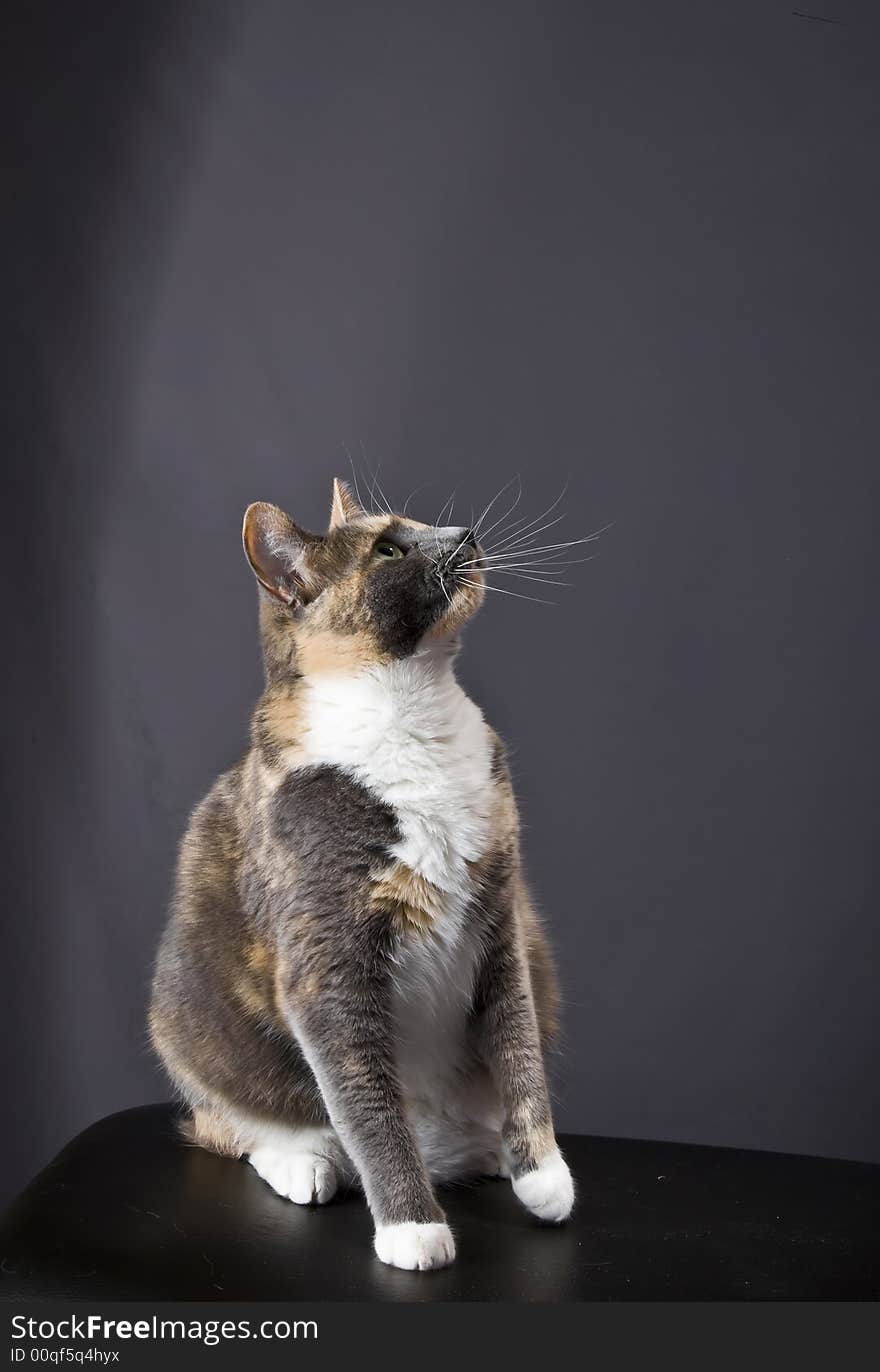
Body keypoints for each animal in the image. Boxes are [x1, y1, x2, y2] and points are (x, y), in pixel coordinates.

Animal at [149, 477, 576, 1267]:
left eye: (422, 524)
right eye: (388, 551)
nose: (464, 533)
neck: (416, 718)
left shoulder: (503, 921)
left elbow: (519, 1045)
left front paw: (544, 1176)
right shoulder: (325, 959)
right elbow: (366, 1102)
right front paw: (413, 1228)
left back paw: (491, 1154)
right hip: (185, 1022)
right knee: (230, 1126)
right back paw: (305, 1162)